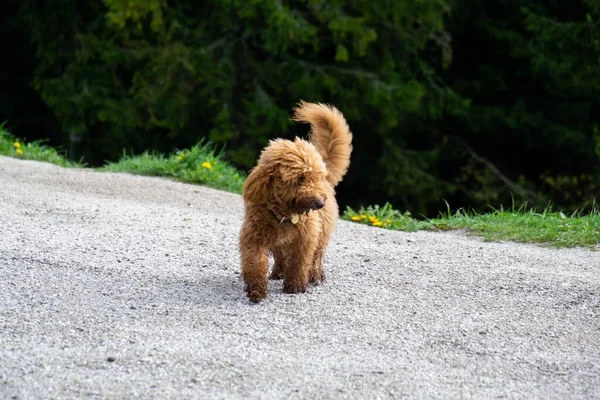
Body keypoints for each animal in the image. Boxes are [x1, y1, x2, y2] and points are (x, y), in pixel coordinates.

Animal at [238, 101, 352, 304]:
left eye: (315, 177)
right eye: (300, 178)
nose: (320, 203)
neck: (284, 215)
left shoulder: (305, 239)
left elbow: (300, 262)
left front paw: (295, 287)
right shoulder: (254, 236)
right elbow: (254, 262)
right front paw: (256, 291)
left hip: (321, 233)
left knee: (317, 256)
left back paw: (315, 276)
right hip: (278, 243)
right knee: (281, 258)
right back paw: (277, 273)